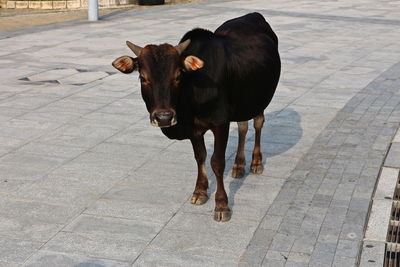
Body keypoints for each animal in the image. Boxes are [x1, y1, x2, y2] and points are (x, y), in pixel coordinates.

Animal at [112, 12, 282, 222]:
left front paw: (222, 205)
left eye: (178, 76)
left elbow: (217, 162)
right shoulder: (194, 129)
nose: (164, 117)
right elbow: (200, 156)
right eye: (143, 78)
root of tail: (254, 15)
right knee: (243, 126)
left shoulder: (221, 123)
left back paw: (256, 162)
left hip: (259, 100)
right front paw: (200, 191)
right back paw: (238, 165)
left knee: (258, 123)